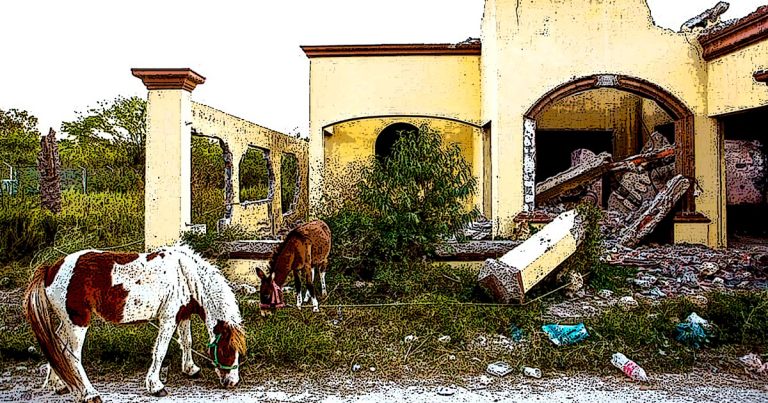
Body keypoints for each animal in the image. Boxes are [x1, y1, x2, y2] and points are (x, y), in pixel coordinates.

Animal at [24, 245, 246, 402]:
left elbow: (186, 342)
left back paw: (59, 384)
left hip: (67, 322)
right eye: (226, 349)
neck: (184, 274)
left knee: (57, 345)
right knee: (72, 356)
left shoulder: (182, 315)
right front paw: (156, 386)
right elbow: (160, 350)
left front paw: (190, 369)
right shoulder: (168, 319)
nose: (232, 382)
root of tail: (51, 269)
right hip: (77, 323)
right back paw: (90, 394)